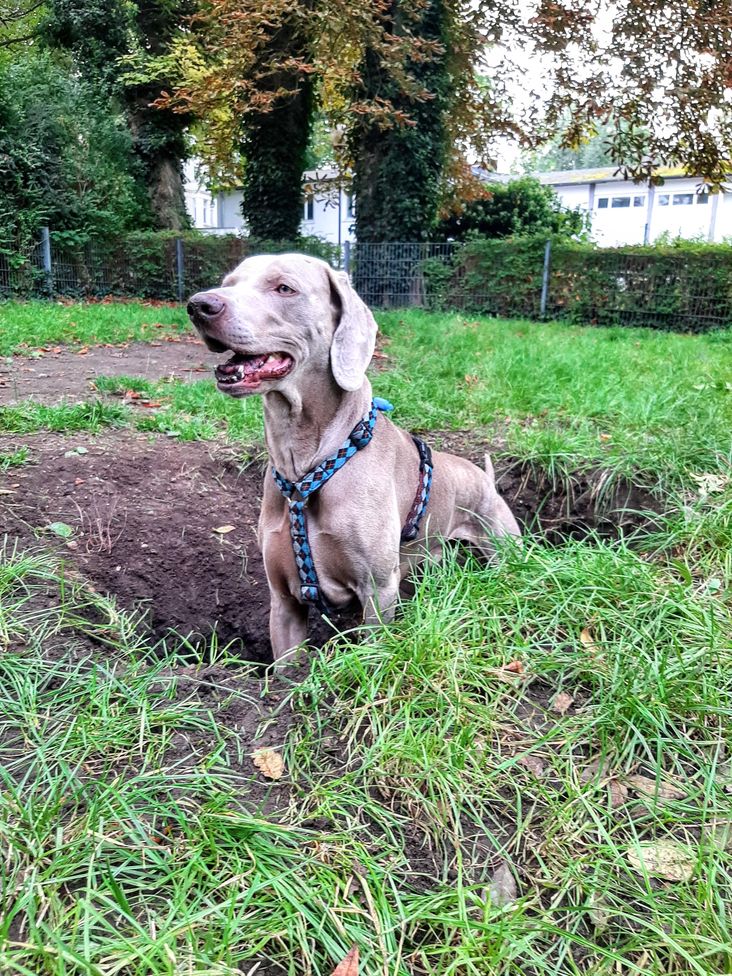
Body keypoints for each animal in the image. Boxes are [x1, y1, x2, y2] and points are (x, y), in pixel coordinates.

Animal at [189, 254, 520, 664]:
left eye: (284, 288)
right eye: (229, 283)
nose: (199, 305)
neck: (305, 467)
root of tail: (486, 479)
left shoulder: (377, 591)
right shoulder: (284, 600)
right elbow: (285, 666)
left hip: (502, 545)